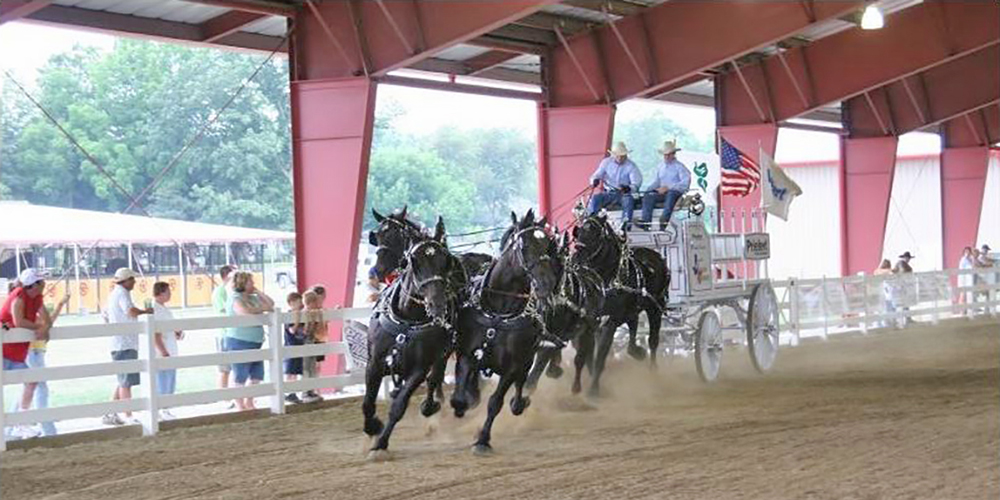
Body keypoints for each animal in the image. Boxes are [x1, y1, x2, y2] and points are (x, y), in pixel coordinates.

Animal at [364, 219, 458, 460]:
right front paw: (373, 427)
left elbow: (399, 406)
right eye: (414, 261)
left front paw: (381, 444)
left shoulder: (419, 368)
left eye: (446, 261)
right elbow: (368, 402)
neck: (407, 320)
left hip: (443, 352)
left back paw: (431, 407)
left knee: (435, 379)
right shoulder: (375, 363)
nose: (437, 305)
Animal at [452, 209, 564, 456]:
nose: (548, 283)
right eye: (525, 246)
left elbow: (495, 402)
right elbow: (460, 395)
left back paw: (519, 403)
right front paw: (463, 406)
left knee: (522, 383)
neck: (499, 310)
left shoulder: (513, 365)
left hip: (526, 359)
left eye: (548, 245)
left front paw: (482, 439)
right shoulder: (467, 355)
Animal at [576, 213, 668, 396]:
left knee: (653, 340)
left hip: (655, 308)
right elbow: (587, 354)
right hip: (632, 311)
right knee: (632, 335)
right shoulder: (592, 320)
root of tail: (656, 255)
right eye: (579, 231)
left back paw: (653, 370)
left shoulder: (611, 321)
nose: (576, 256)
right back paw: (638, 352)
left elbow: (601, 356)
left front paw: (593, 390)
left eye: (595, 232)